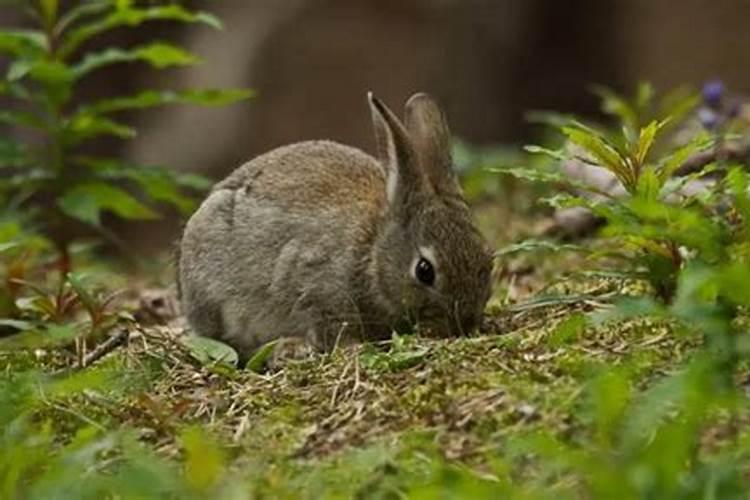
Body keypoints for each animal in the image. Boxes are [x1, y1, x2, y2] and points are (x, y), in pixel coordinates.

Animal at [176, 93, 494, 360]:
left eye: (488, 260)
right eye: (424, 271)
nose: (466, 322)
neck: (373, 252)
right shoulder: (315, 289)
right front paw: (353, 349)